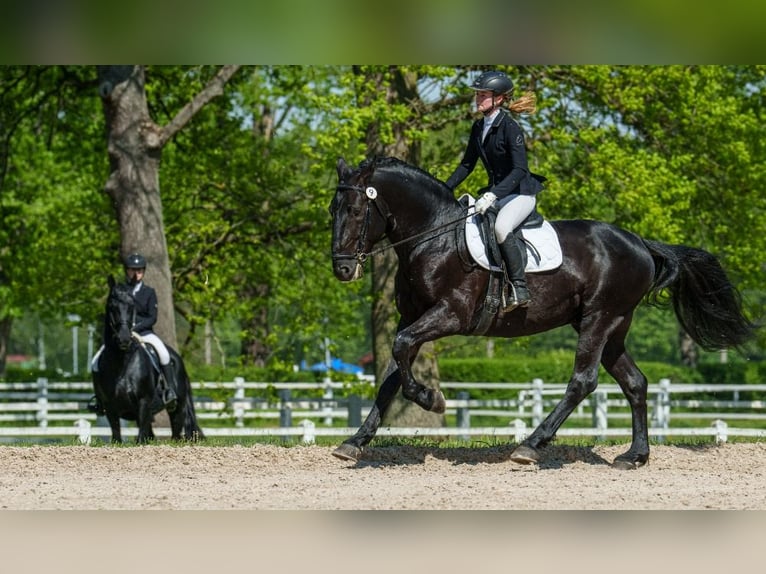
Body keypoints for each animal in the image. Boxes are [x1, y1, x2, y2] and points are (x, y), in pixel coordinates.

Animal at [92, 280, 206, 446]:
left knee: (176, 432)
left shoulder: (144, 402)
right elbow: (117, 437)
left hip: (177, 407)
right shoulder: (110, 407)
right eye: (112, 306)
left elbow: (140, 438)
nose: (124, 339)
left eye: (132, 306)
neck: (122, 363)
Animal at [332, 155, 756, 470]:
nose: (342, 270)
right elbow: (392, 372)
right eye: (332, 209)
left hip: (599, 320)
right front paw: (355, 441)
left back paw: (531, 446)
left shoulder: (450, 314)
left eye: (354, 209)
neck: (434, 236)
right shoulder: (412, 318)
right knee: (635, 382)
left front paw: (431, 398)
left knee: (582, 381)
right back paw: (635, 456)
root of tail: (639, 242)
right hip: (612, 327)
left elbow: (402, 353)